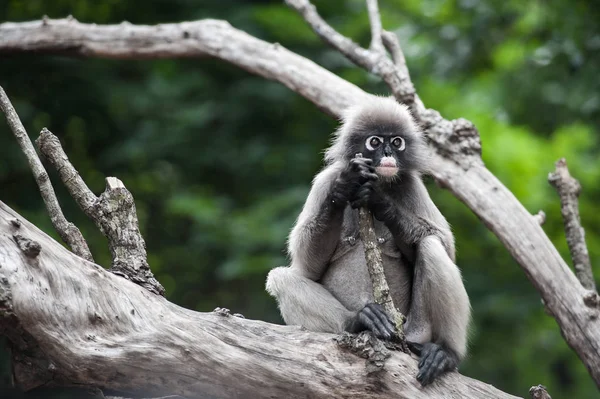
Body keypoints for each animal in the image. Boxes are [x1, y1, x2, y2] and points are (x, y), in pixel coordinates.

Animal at [266, 95, 468, 386]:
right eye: (375, 141)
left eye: (396, 142)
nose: (387, 154)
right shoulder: (325, 180)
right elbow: (306, 268)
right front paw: (344, 187)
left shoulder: (411, 184)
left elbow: (445, 242)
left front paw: (381, 202)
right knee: (279, 277)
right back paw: (359, 320)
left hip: (417, 328)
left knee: (431, 246)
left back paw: (446, 353)